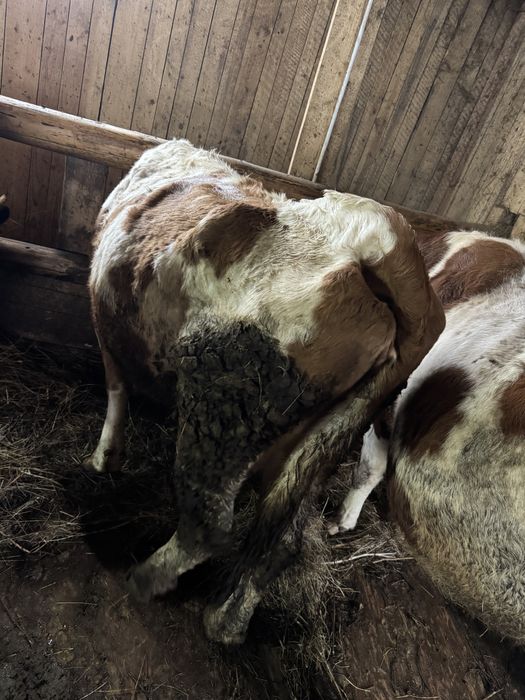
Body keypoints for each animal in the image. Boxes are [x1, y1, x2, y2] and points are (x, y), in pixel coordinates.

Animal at [87, 138, 444, 644]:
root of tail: (384, 245)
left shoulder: (104, 316)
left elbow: (116, 389)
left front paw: (104, 458)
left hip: (227, 406)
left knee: (209, 526)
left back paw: (146, 579)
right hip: (321, 442)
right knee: (283, 540)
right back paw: (227, 622)